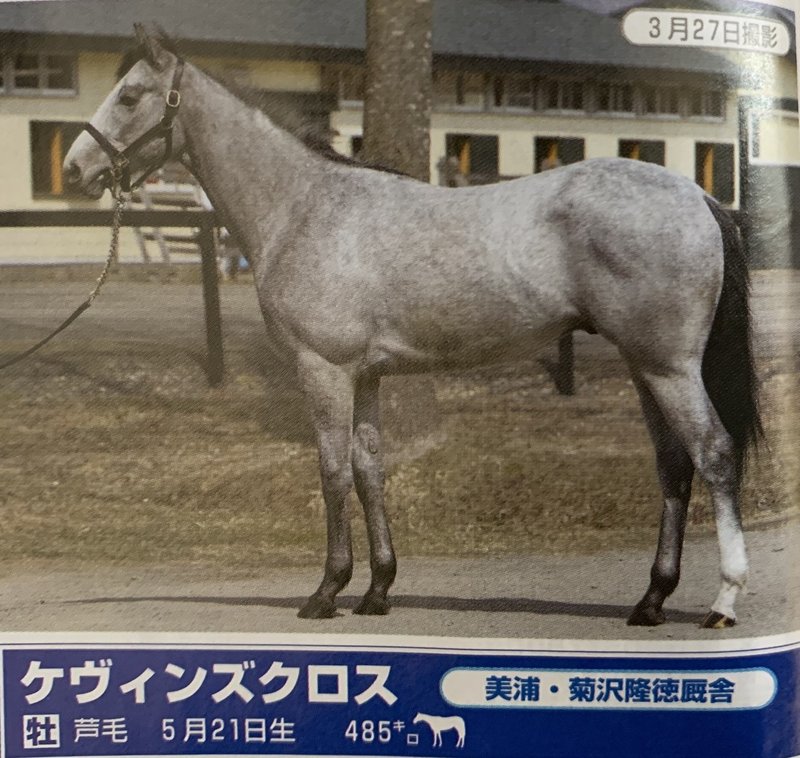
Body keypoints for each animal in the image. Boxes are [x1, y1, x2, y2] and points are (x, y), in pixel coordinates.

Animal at [63, 25, 761, 629]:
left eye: (130, 95)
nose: (73, 170)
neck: (304, 206)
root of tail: (700, 198)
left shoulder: (324, 370)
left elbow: (332, 472)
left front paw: (327, 591)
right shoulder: (367, 376)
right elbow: (370, 469)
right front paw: (377, 590)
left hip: (668, 367)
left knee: (714, 453)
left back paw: (723, 601)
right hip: (645, 367)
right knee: (673, 465)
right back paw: (651, 599)